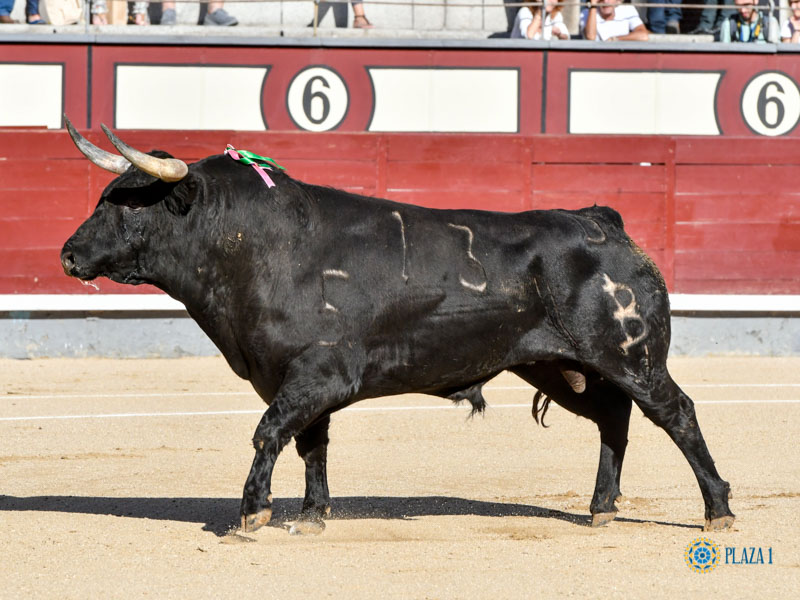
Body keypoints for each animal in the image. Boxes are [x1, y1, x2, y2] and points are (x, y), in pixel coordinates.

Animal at [59, 123, 736, 536]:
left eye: (126, 203)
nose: (67, 255)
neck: (256, 247)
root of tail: (602, 222)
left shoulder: (315, 373)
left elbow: (269, 433)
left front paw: (252, 514)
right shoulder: (298, 380)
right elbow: (309, 443)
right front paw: (312, 515)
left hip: (631, 356)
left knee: (676, 414)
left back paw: (718, 511)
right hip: (561, 366)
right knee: (614, 421)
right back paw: (600, 510)